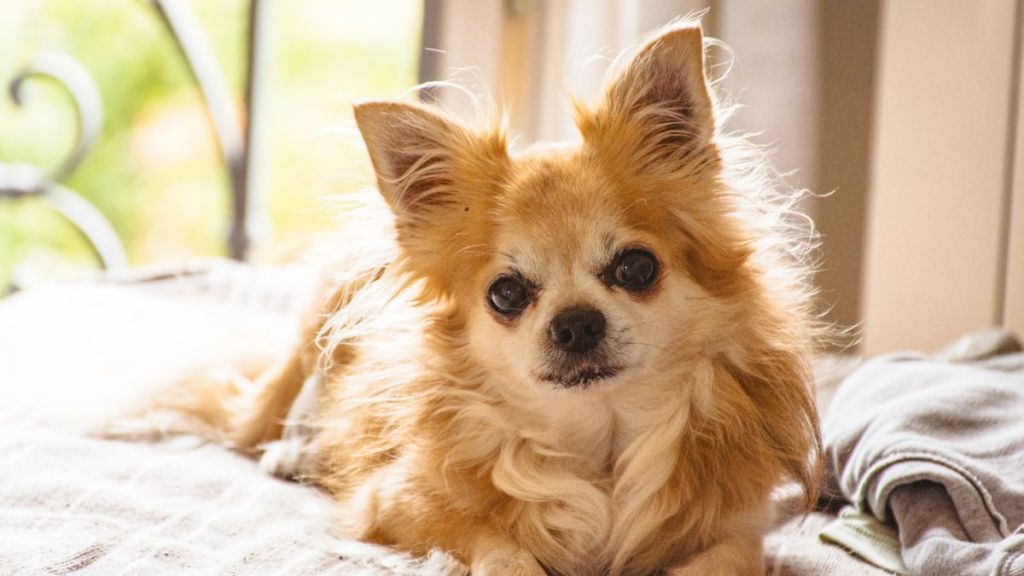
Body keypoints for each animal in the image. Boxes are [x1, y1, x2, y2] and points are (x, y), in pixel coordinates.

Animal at [128, 20, 819, 573]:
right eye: (506, 293)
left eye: (637, 267)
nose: (576, 323)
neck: (599, 443)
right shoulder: (401, 504)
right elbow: (502, 547)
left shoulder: (738, 528)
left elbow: (721, 561)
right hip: (314, 333)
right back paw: (295, 451)